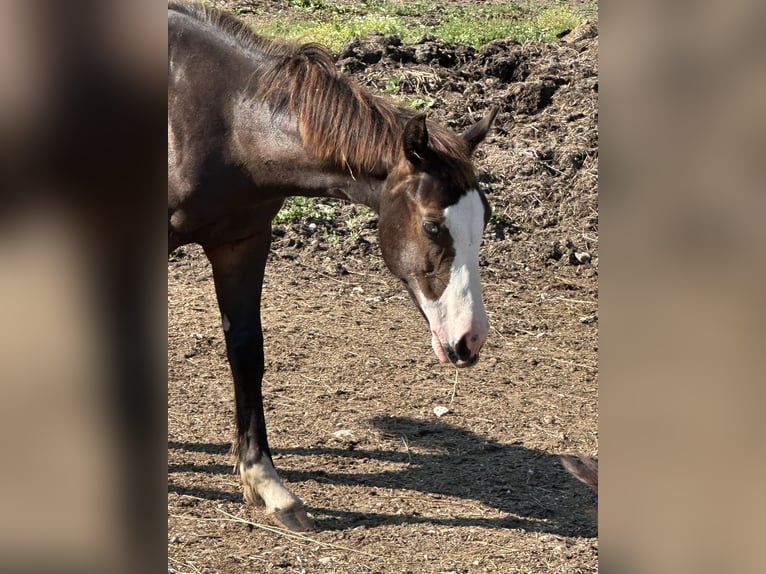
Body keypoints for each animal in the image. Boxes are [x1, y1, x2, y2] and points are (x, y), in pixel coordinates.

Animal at [168, 2, 498, 531]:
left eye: (483, 219)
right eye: (431, 225)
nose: (471, 339)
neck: (221, 119)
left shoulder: (242, 242)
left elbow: (247, 351)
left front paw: (266, 483)